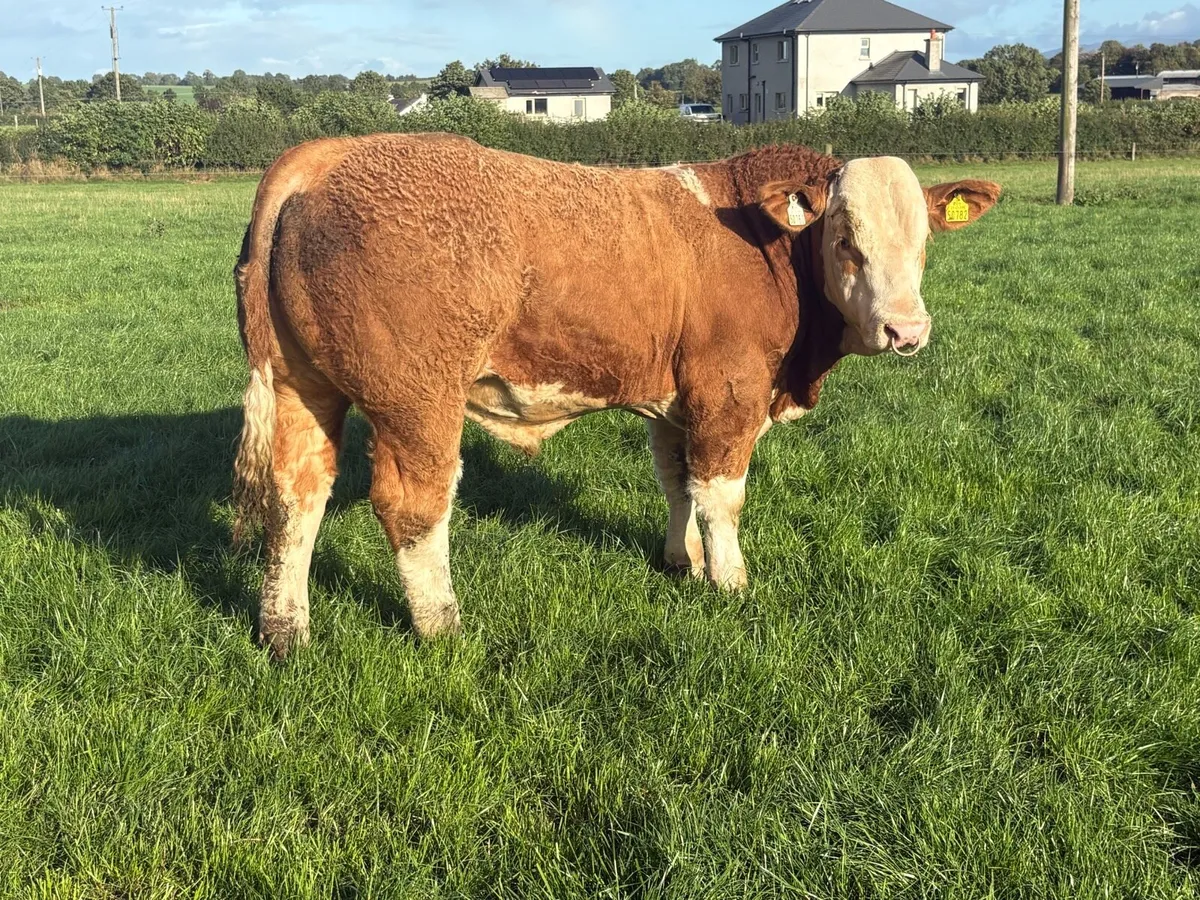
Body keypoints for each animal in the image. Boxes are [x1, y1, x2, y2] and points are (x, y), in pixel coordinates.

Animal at [232, 133, 1000, 659]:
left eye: (925, 240)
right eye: (845, 238)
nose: (907, 330)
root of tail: (328, 155)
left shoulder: (677, 399)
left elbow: (678, 482)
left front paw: (682, 562)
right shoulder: (728, 393)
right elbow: (721, 495)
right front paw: (730, 583)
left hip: (303, 386)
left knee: (296, 494)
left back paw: (285, 629)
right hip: (417, 402)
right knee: (412, 507)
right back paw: (443, 626)